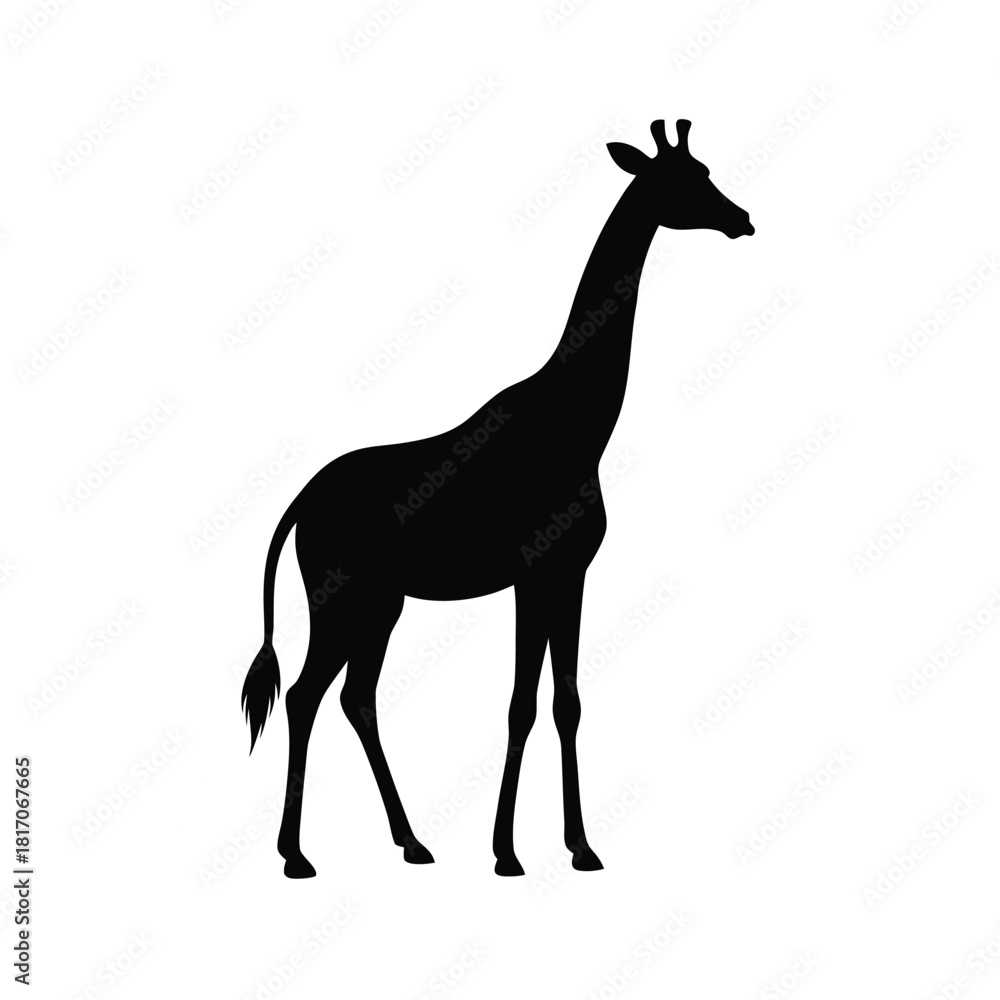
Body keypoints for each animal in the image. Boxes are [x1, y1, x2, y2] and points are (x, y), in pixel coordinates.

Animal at [242, 119, 754, 878]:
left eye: (708, 171)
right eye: (681, 181)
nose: (742, 219)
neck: (579, 422)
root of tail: (300, 503)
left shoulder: (569, 573)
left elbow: (565, 701)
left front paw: (579, 846)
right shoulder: (534, 573)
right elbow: (520, 704)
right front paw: (507, 852)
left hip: (382, 602)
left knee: (355, 698)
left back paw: (412, 842)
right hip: (340, 596)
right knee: (307, 695)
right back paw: (297, 856)